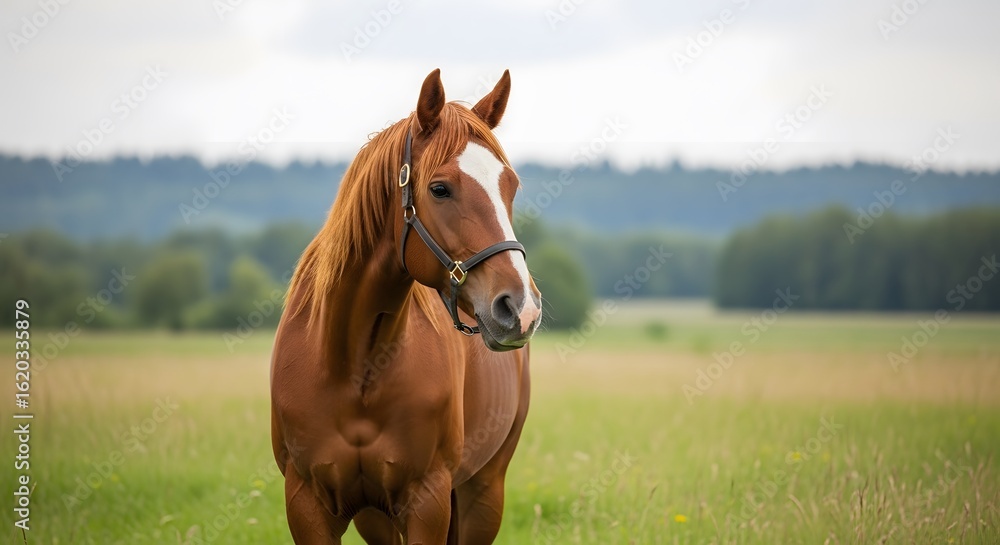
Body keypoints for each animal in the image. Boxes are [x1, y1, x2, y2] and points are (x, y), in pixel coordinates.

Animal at [270, 69, 542, 544]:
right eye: (440, 189)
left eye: (510, 187)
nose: (521, 308)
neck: (352, 363)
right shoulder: (306, 503)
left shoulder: (427, 502)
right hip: (376, 518)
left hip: (483, 491)